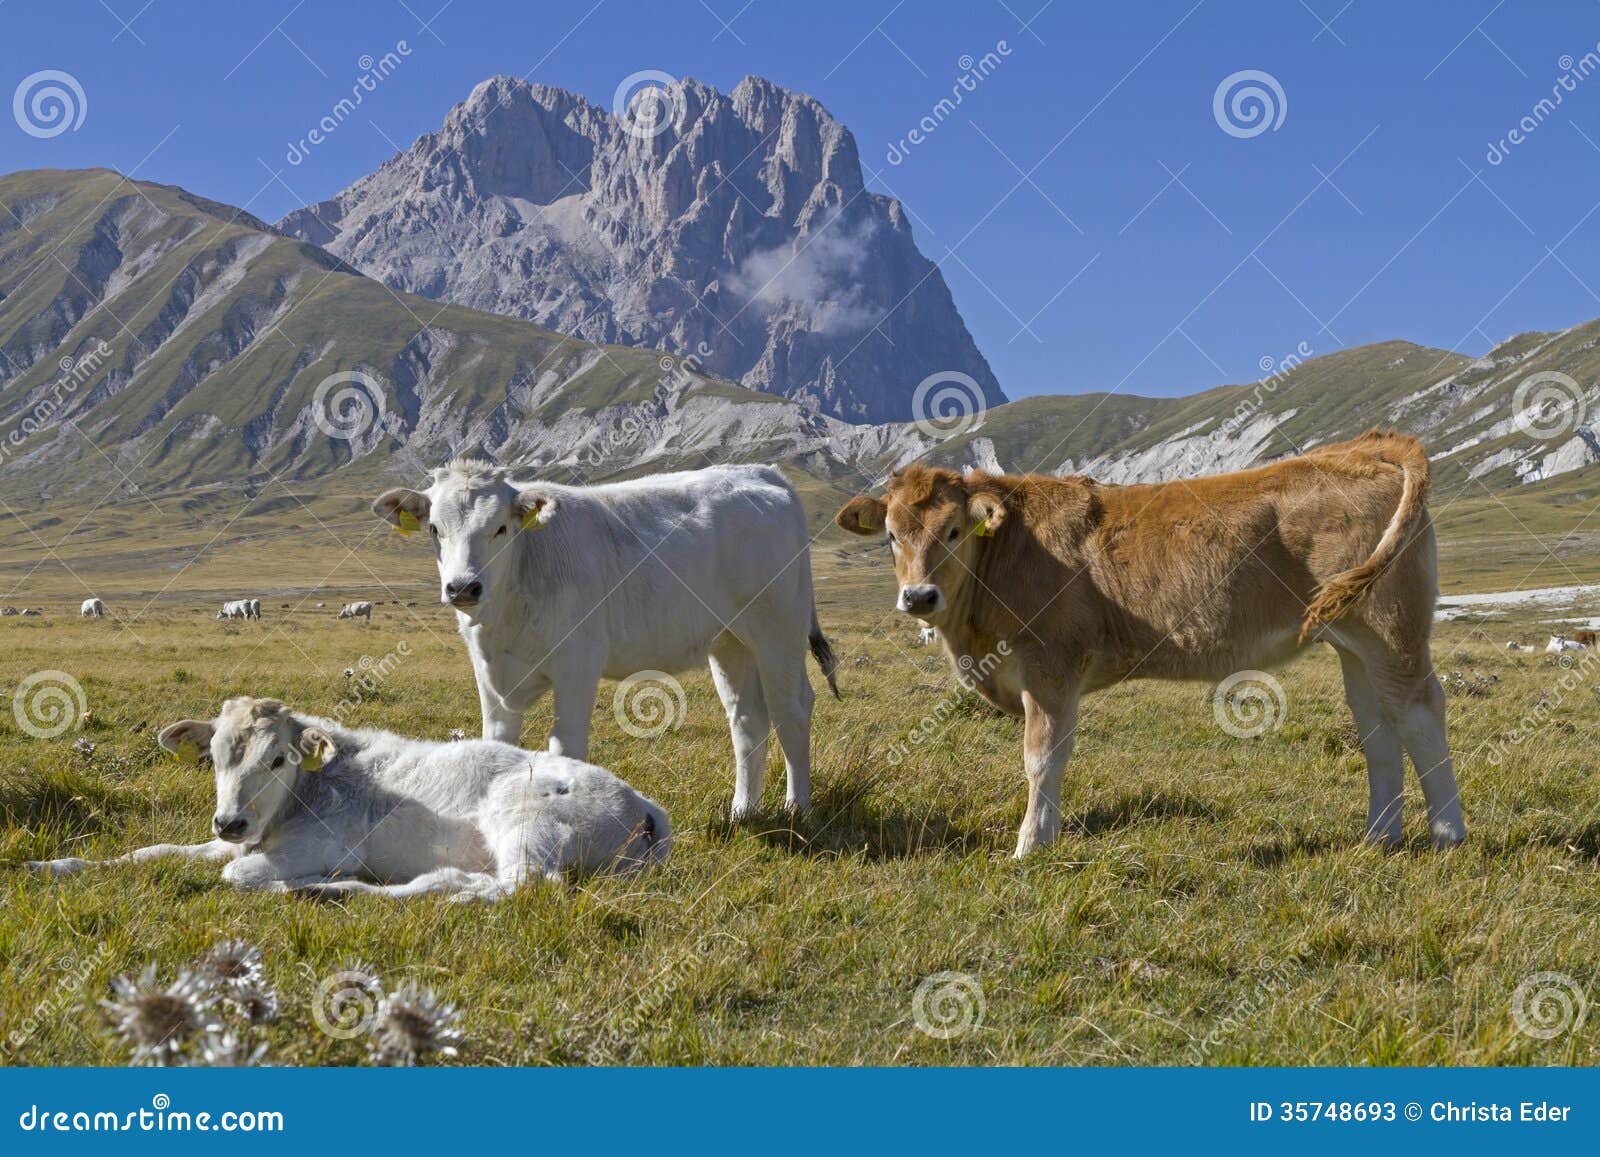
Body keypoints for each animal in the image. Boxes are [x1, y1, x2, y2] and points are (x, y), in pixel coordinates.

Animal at [31, 697, 668, 902]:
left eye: (277, 759)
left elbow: (234, 878)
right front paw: (50, 865)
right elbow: (150, 854)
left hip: (525, 824)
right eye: (213, 756)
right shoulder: (232, 843)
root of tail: (642, 803)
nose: (229, 821)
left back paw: (335, 889)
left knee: (513, 886)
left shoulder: (309, 848)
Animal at [371, 457, 838, 819]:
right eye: (434, 528)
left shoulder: (578, 663)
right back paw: (744, 811)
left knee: (792, 710)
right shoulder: (489, 673)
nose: (463, 587)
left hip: (778, 630)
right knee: (747, 719)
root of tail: (762, 471)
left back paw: (798, 808)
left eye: (501, 528)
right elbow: (497, 744)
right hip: (729, 641)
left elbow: (566, 746)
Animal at [844, 428, 1465, 857]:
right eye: (891, 536)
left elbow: (1043, 758)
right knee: (1378, 724)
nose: (919, 597)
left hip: (1391, 626)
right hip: (1352, 638)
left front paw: (1030, 846)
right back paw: (1378, 837)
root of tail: (1362, 449)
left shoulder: (1051, 665)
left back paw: (1447, 835)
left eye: (954, 531)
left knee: (1420, 712)